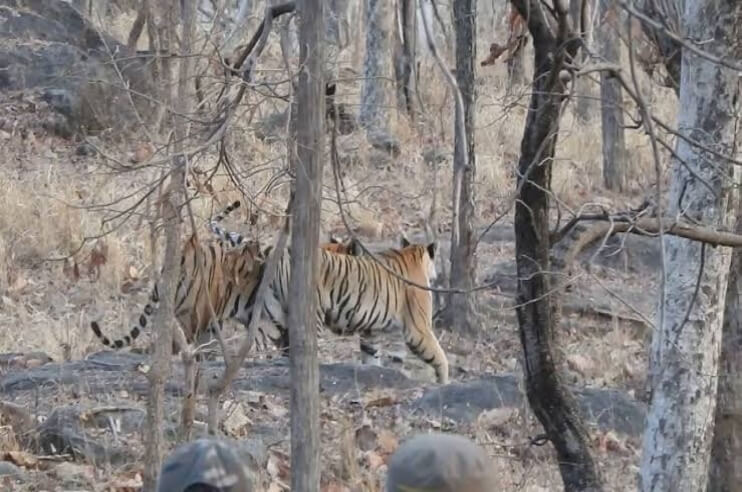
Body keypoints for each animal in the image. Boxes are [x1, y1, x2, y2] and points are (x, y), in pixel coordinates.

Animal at [206, 215, 448, 384]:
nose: (437, 275)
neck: (413, 256)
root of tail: (282, 253)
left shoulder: (373, 333)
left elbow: (378, 358)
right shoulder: (418, 328)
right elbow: (438, 355)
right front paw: (444, 381)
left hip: (273, 316)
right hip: (311, 316)